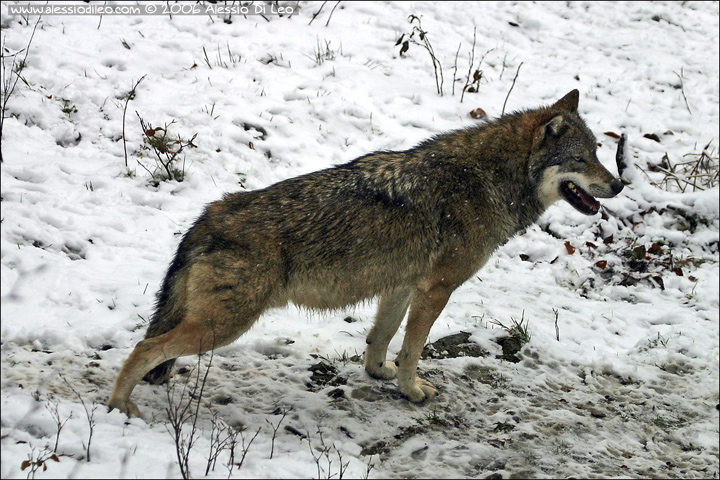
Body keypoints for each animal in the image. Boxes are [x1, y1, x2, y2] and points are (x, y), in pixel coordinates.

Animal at [107, 90, 624, 416]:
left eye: (600, 154)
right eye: (582, 160)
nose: (619, 185)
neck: (489, 179)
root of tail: (207, 216)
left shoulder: (401, 285)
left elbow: (382, 338)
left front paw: (379, 373)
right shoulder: (436, 290)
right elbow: (414, 349)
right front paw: (411, 391)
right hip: (222, 327)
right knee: (143, 348)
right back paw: (119, 408)